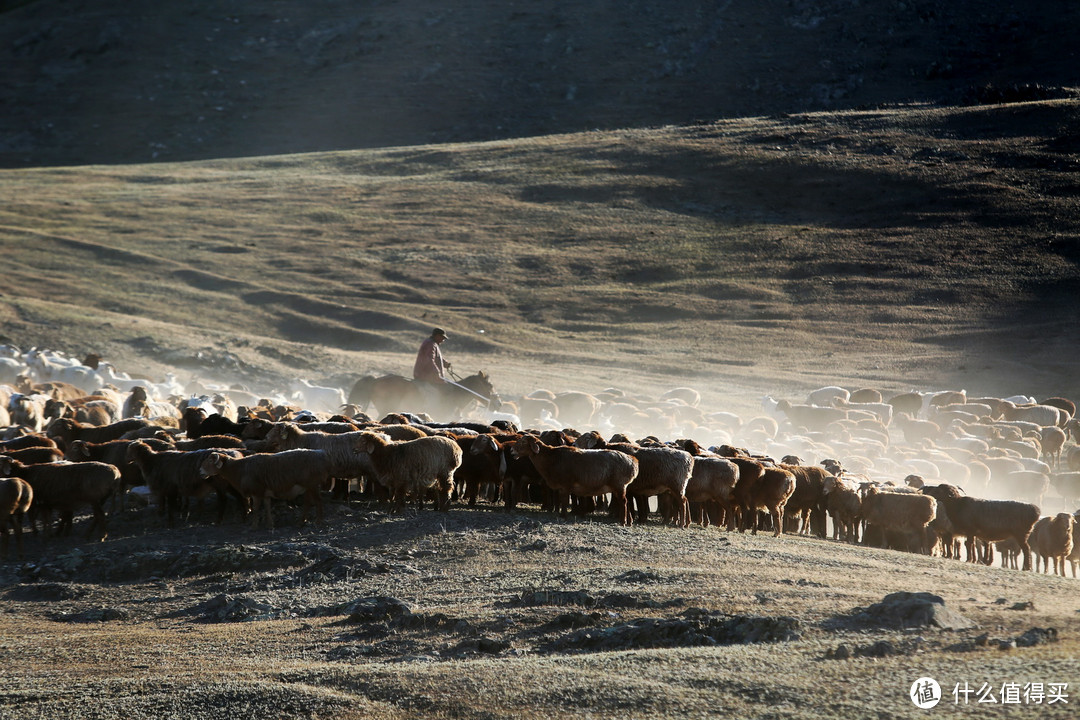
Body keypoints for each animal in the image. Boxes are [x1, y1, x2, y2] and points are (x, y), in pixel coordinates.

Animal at [194, 451, 328, 528]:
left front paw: (254, 526)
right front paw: (270, 525)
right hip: (308, 487)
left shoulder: (256, 492)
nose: (200, 471)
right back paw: (301, 522)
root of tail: (321, 459)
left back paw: (319, 522)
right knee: (308, 503)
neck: (239, 469)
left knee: (319, 501)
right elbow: (267, 506)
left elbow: (256, 508)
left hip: (312, 485)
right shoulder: (265, 493)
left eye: (210, 460)